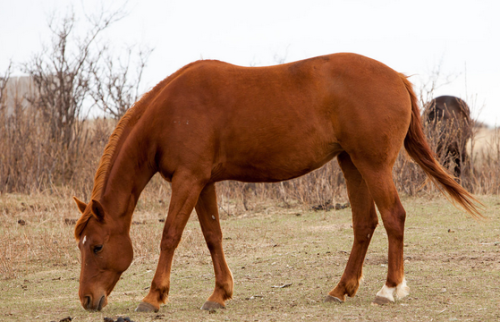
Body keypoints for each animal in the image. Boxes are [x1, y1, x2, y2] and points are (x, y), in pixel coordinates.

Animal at [71, 52, 480, 312]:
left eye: (96, 247)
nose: (87, 300)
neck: (170, 112)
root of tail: (397, 77)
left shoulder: (187, 181)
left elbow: (170, 235)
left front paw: (153, 298)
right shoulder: (203, 183)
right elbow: (213, 236)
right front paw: (219, 295)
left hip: (374, 166)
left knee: (394, 217)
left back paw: (390, 290)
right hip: (352, 164)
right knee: (364, 224)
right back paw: (340, 289)